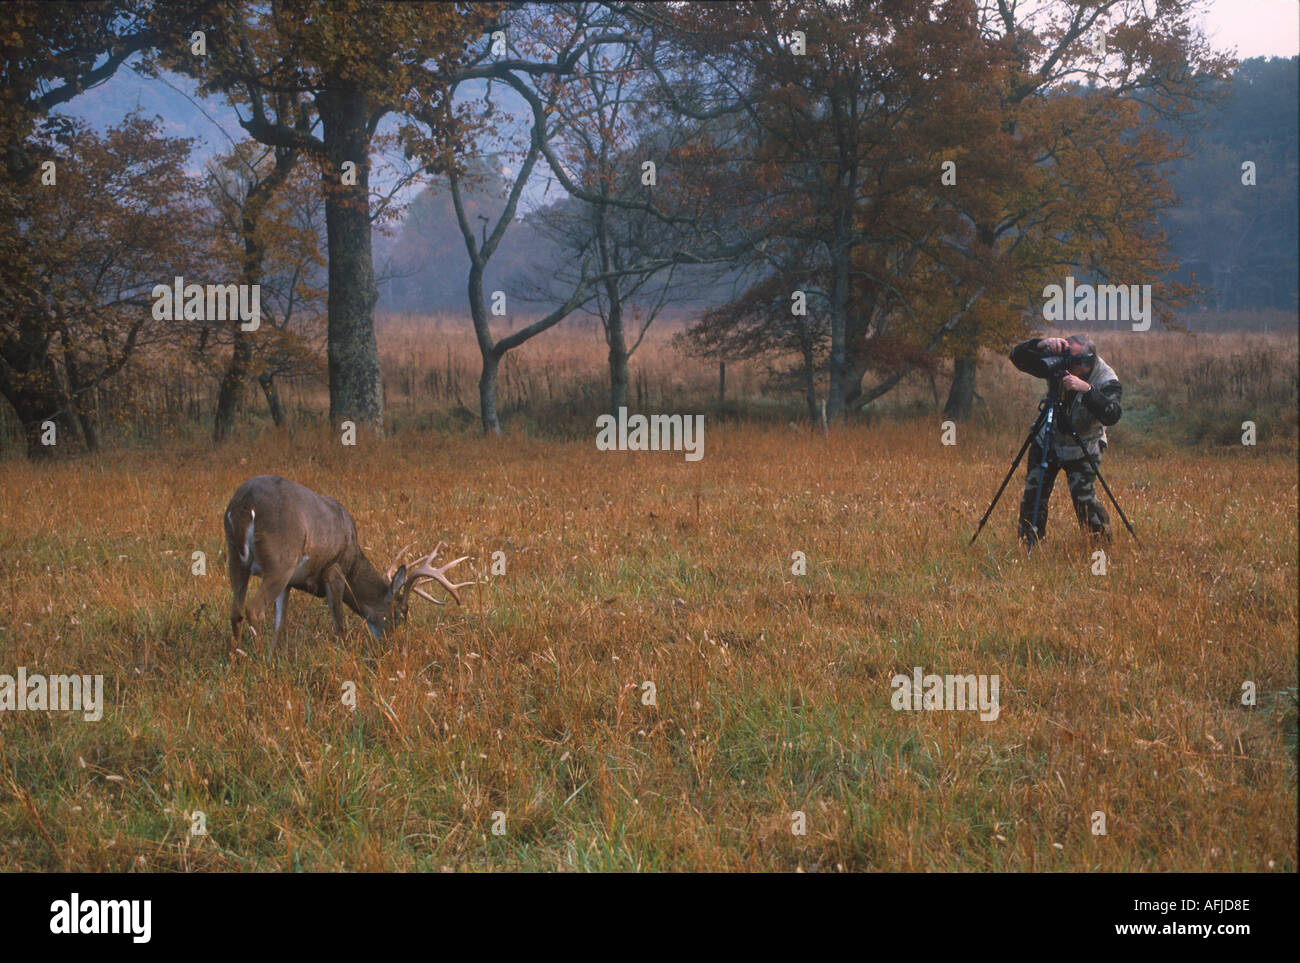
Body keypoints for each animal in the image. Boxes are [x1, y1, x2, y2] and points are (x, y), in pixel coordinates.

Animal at [223, 474, 474, 657]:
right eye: (402, 613)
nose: (390, 646)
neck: (353, 559)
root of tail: (245, 503)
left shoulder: (290, 583)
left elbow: (279, 623)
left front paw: (273, 656)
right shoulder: (333, 569)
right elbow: (339, 623)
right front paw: (343, 654)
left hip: (235, 559)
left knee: (236, 611)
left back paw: (236, 658)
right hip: (280, 561)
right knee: (254, 610)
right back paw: (257, 660)